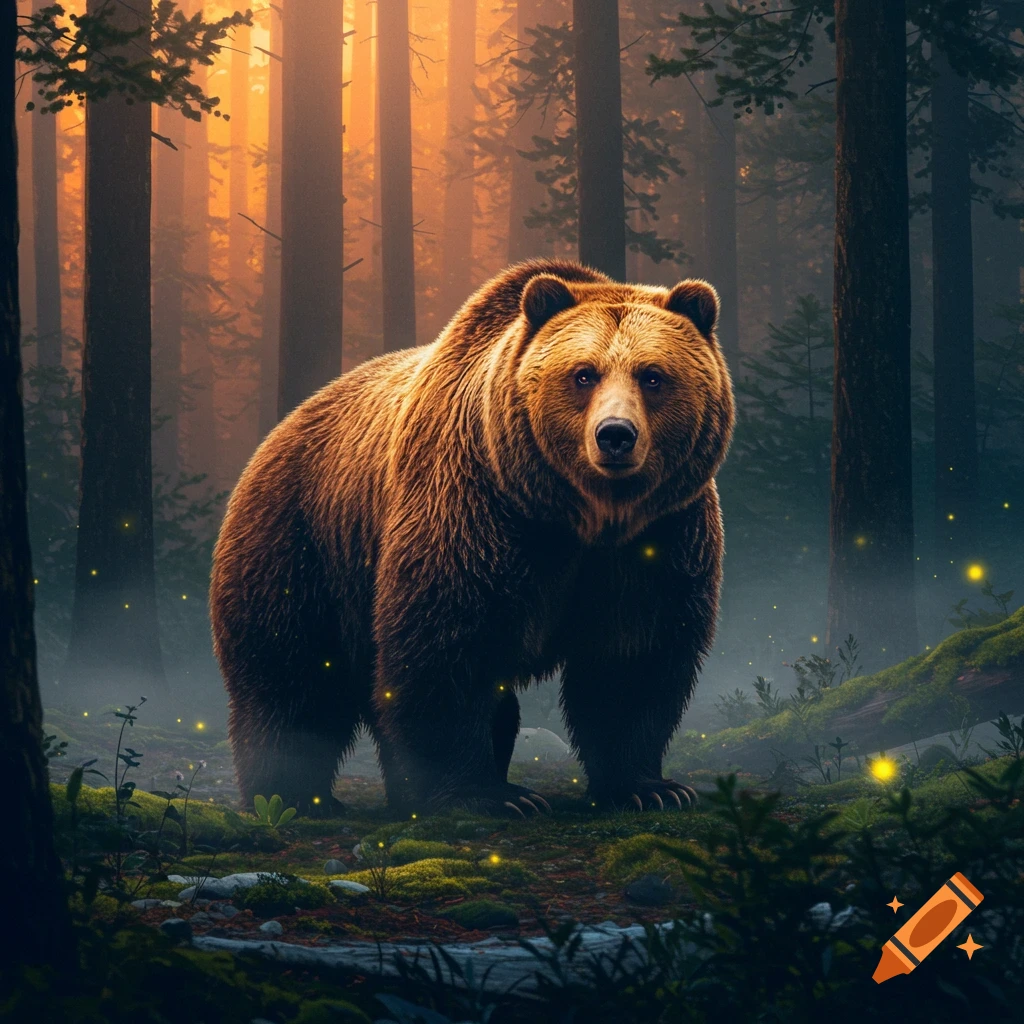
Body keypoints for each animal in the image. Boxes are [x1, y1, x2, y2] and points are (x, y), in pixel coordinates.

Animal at [210, 258, 734, 816]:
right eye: (583, 373)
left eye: (653, 376)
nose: (615, 435)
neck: (579, 514)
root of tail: (281, 428)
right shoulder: (475, 510)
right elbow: (447, 646)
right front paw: (484, 796)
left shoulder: (660, 534)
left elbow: (634, 656)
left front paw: (650, 787)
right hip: (301, 540)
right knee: (292, 678)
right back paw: (292, 796)